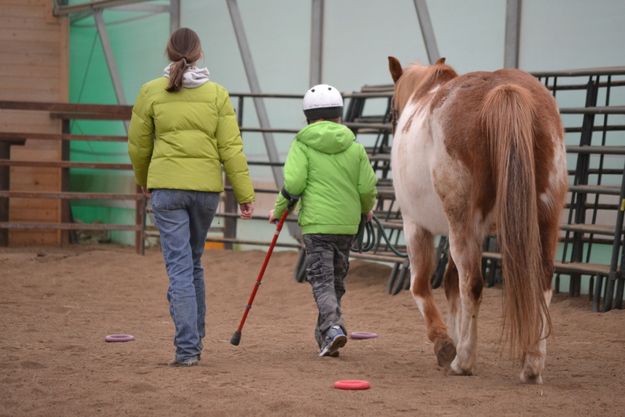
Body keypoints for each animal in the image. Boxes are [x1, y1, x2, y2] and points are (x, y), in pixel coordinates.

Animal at [386, 56, 564, 384]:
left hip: (460, 222)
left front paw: (445, 345)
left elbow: (422, 286)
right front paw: (455, 339)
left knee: (472, 284)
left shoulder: (416, 225)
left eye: (392, 111)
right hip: (545, 217)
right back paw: (532, 364)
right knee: (542, 281)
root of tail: (503, 89)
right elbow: (449, 284)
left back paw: (464, 361)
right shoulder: (474, 233)